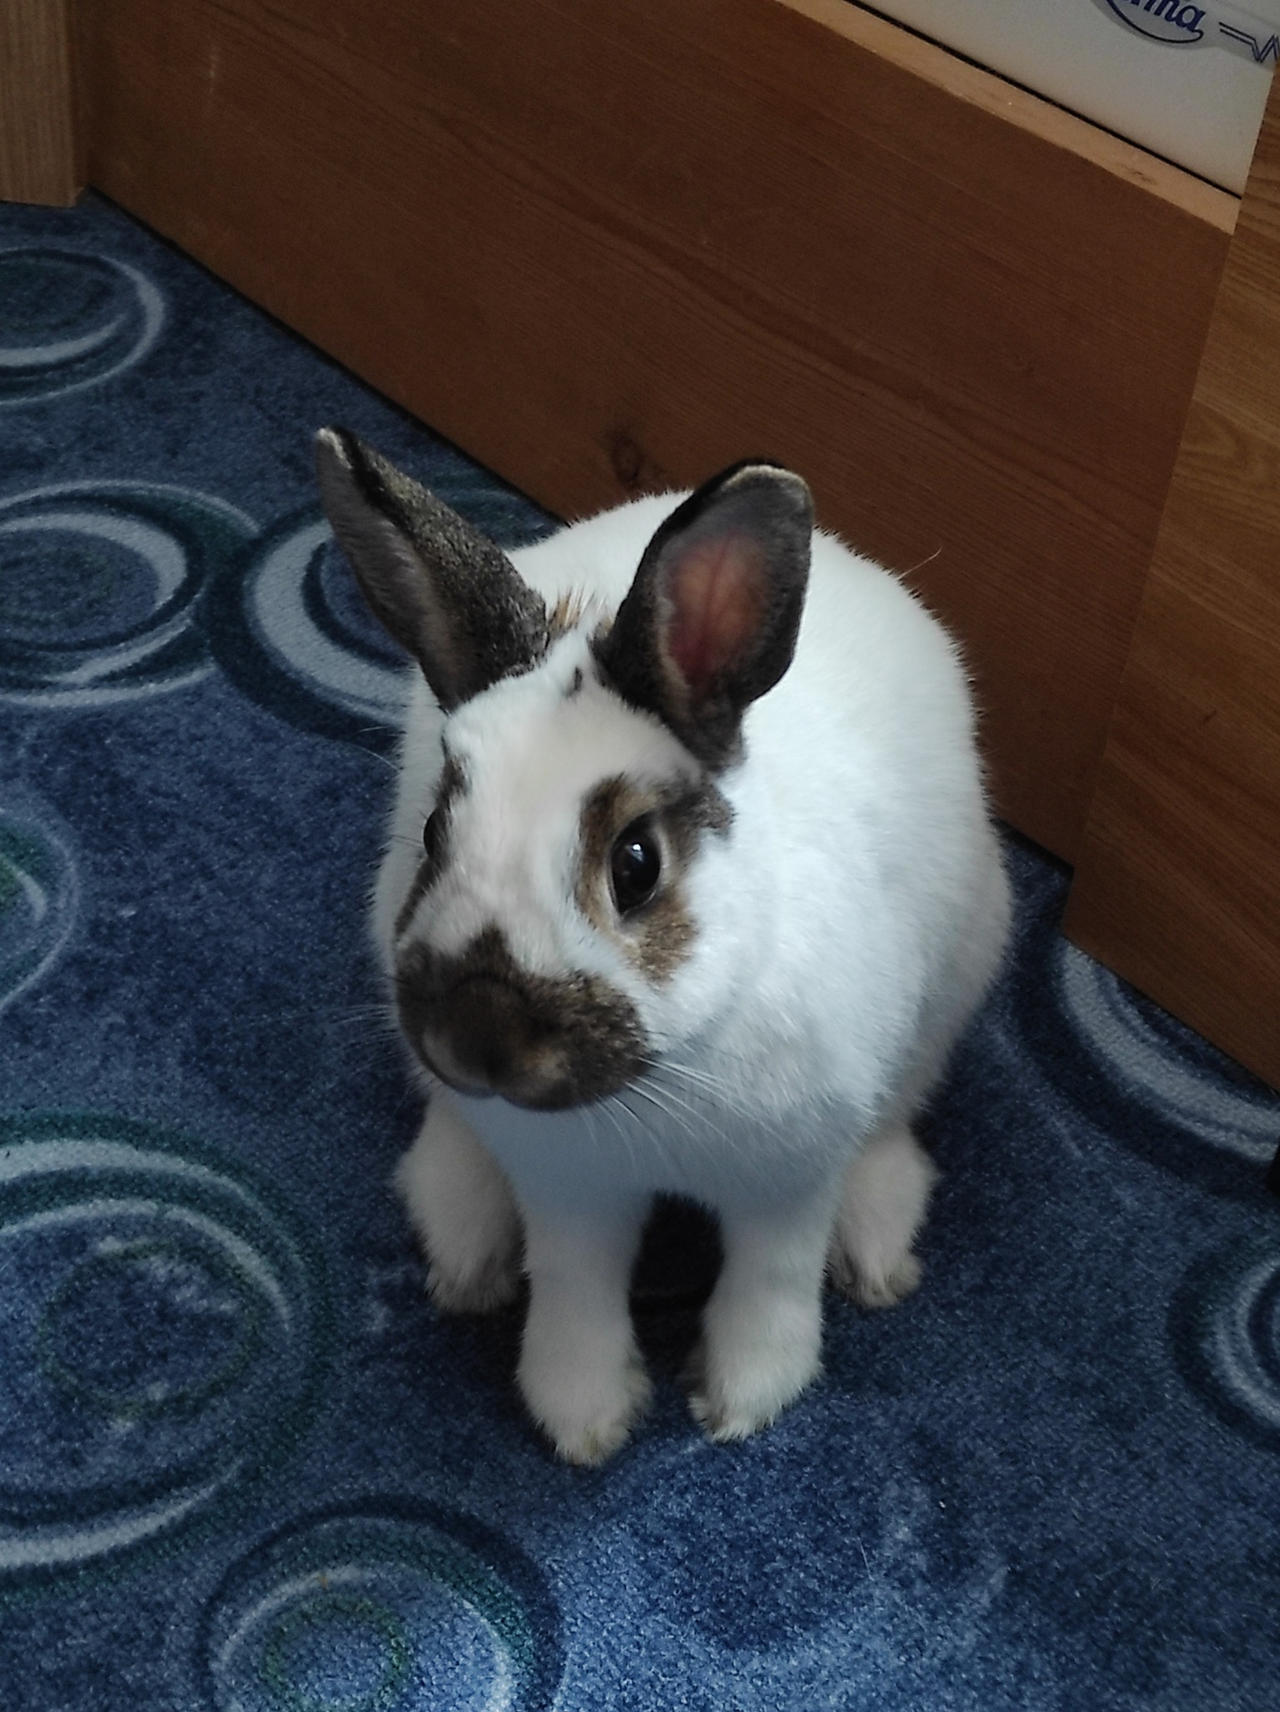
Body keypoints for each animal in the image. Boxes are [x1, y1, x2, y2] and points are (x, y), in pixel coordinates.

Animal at [316, 427, 1011, 1466]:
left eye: (637, 865)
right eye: (436, 835)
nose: (476, 1037)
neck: (664, 1082)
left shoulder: (791, 1177)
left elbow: (771, 1278)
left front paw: (743, 1401)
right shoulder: (568, 1191)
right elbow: (577, 1288)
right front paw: (584, 1418)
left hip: (958, 979)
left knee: (898, 1120)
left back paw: (877, 1243)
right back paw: (466, 1240)